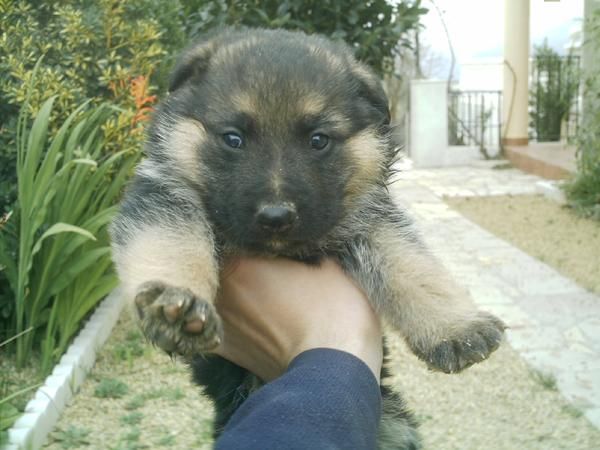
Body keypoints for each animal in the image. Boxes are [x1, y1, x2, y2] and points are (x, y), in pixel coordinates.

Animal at [110, 29, 504, 450]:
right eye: (233, 138)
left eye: (318, 140)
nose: (275, 217)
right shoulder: (164, 198)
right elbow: (171, 245)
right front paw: (176, 305)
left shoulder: (371, 221)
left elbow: (411, 265)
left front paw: (456, 328)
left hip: (395, 423)